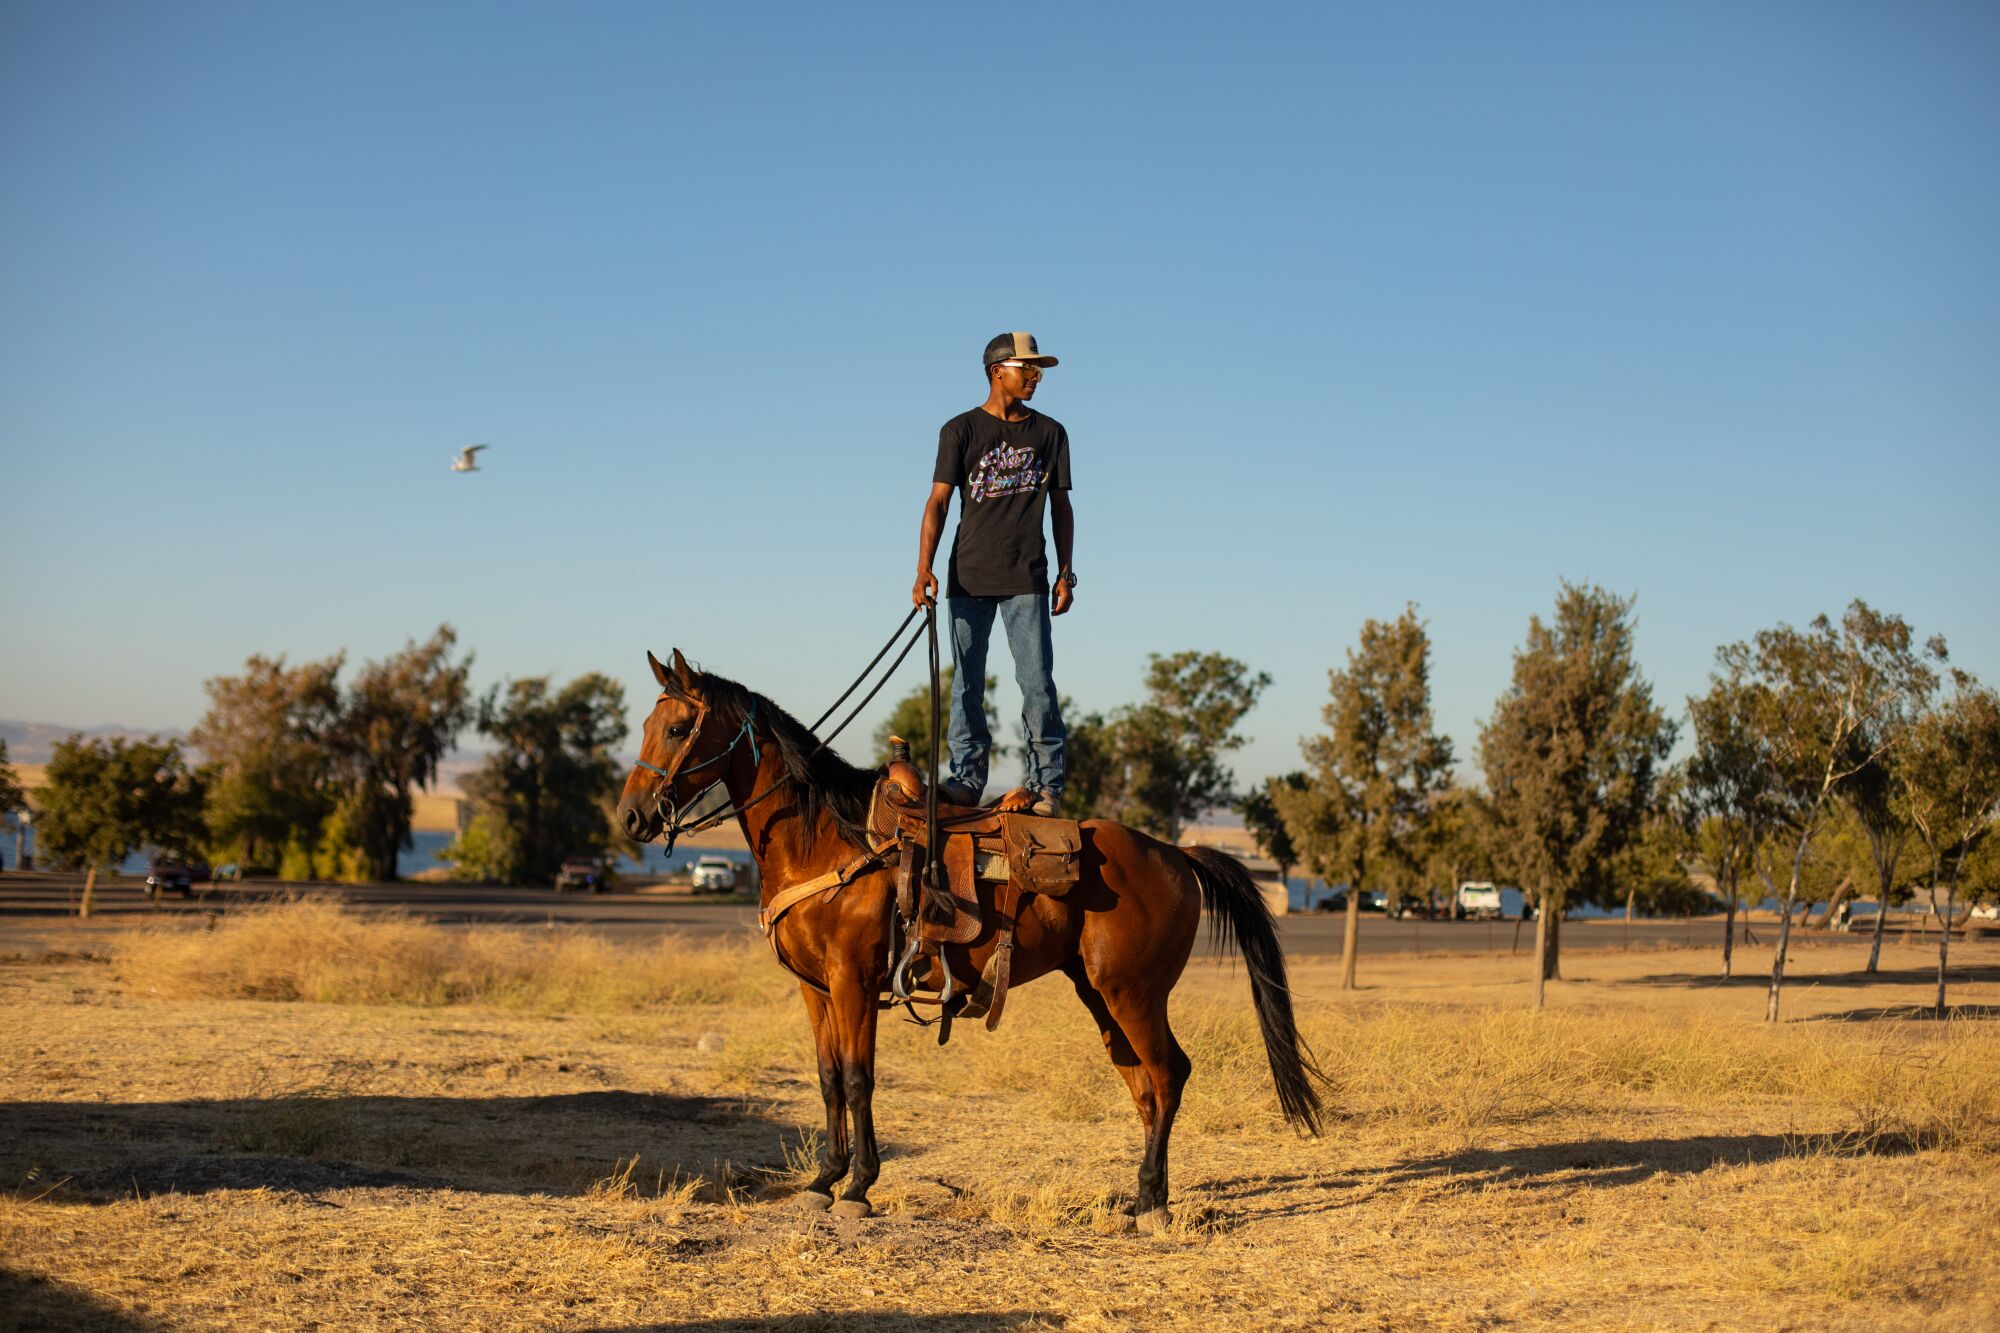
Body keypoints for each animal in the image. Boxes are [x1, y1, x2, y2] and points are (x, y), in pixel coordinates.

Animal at [616, 644, 1320, 1224]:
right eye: (646, 726)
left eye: (677, 728)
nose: (631, 817)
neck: (824, 837)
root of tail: (1176, 853)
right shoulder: (814, 989)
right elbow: (826, 1078)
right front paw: (823, 1180)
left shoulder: (853, 981)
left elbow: (858, 1078)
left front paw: (858, 1189)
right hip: (1102, 994)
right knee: (1143, 1083)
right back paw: (1145, 1199)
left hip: (1134, 992)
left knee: (1170, 1073)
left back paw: (1152, 1202)